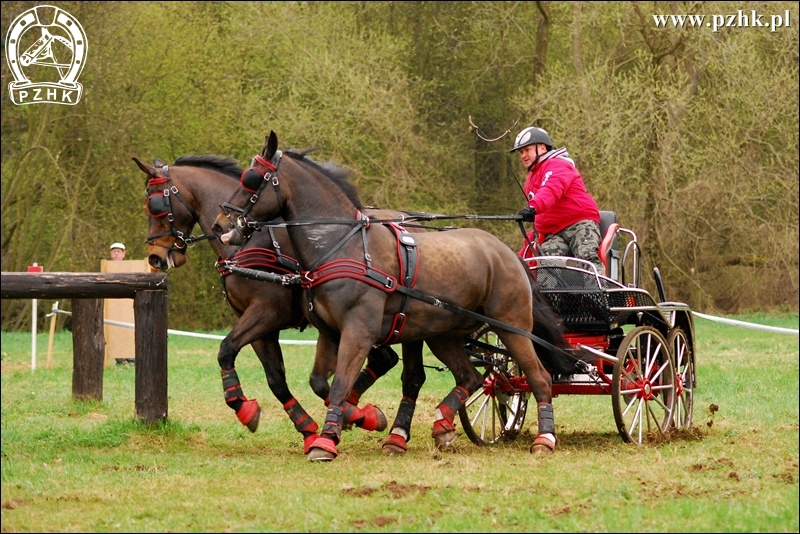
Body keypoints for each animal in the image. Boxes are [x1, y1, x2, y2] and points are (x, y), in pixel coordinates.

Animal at [133, 155, 424, 456]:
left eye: (153, 204)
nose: (155, 257)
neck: (249, 242)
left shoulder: (267, 313)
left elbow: (226, 349)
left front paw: (245, 407)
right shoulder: (260, 326)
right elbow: (275, 379)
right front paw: (305, 429)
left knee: (411, 376)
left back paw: (394, 433)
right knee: (385, 360)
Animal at [216, 132, 568, 462]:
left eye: (252, 178)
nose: (222, 223)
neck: (341, 245)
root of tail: (506, 252)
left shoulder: (357, 332)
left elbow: (341, 384)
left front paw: (326, 441)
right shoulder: (329, 333)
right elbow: (321, 383)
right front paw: (355, 420)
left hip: (511, 327)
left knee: (537, 377)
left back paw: (545, 439)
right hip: (443, 335)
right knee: (471, 376)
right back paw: (440, 424)